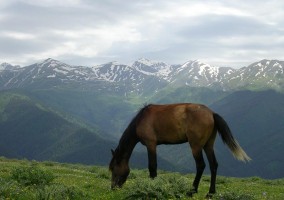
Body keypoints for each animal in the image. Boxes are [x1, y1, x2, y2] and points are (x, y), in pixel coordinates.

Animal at [108, 104, 251, 198]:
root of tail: (211, 113)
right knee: (213, 165)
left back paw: (192, 191)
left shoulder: (151, 144)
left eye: (114, 168)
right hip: (208, 145)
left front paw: (152, 188)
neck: (141, 120)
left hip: (196, 146)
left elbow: (152, 167)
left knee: (201, 165)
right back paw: (210, 193)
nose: (113, 187)